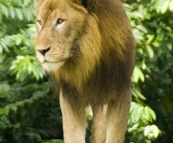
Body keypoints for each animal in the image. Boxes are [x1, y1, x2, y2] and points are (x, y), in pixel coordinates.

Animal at [34, 0, 135, 143]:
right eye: (40, 22)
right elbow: (73, 136)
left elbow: (114, 136)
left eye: (60, 21)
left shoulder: (122, 92)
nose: (41, 51)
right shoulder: (69, 97)